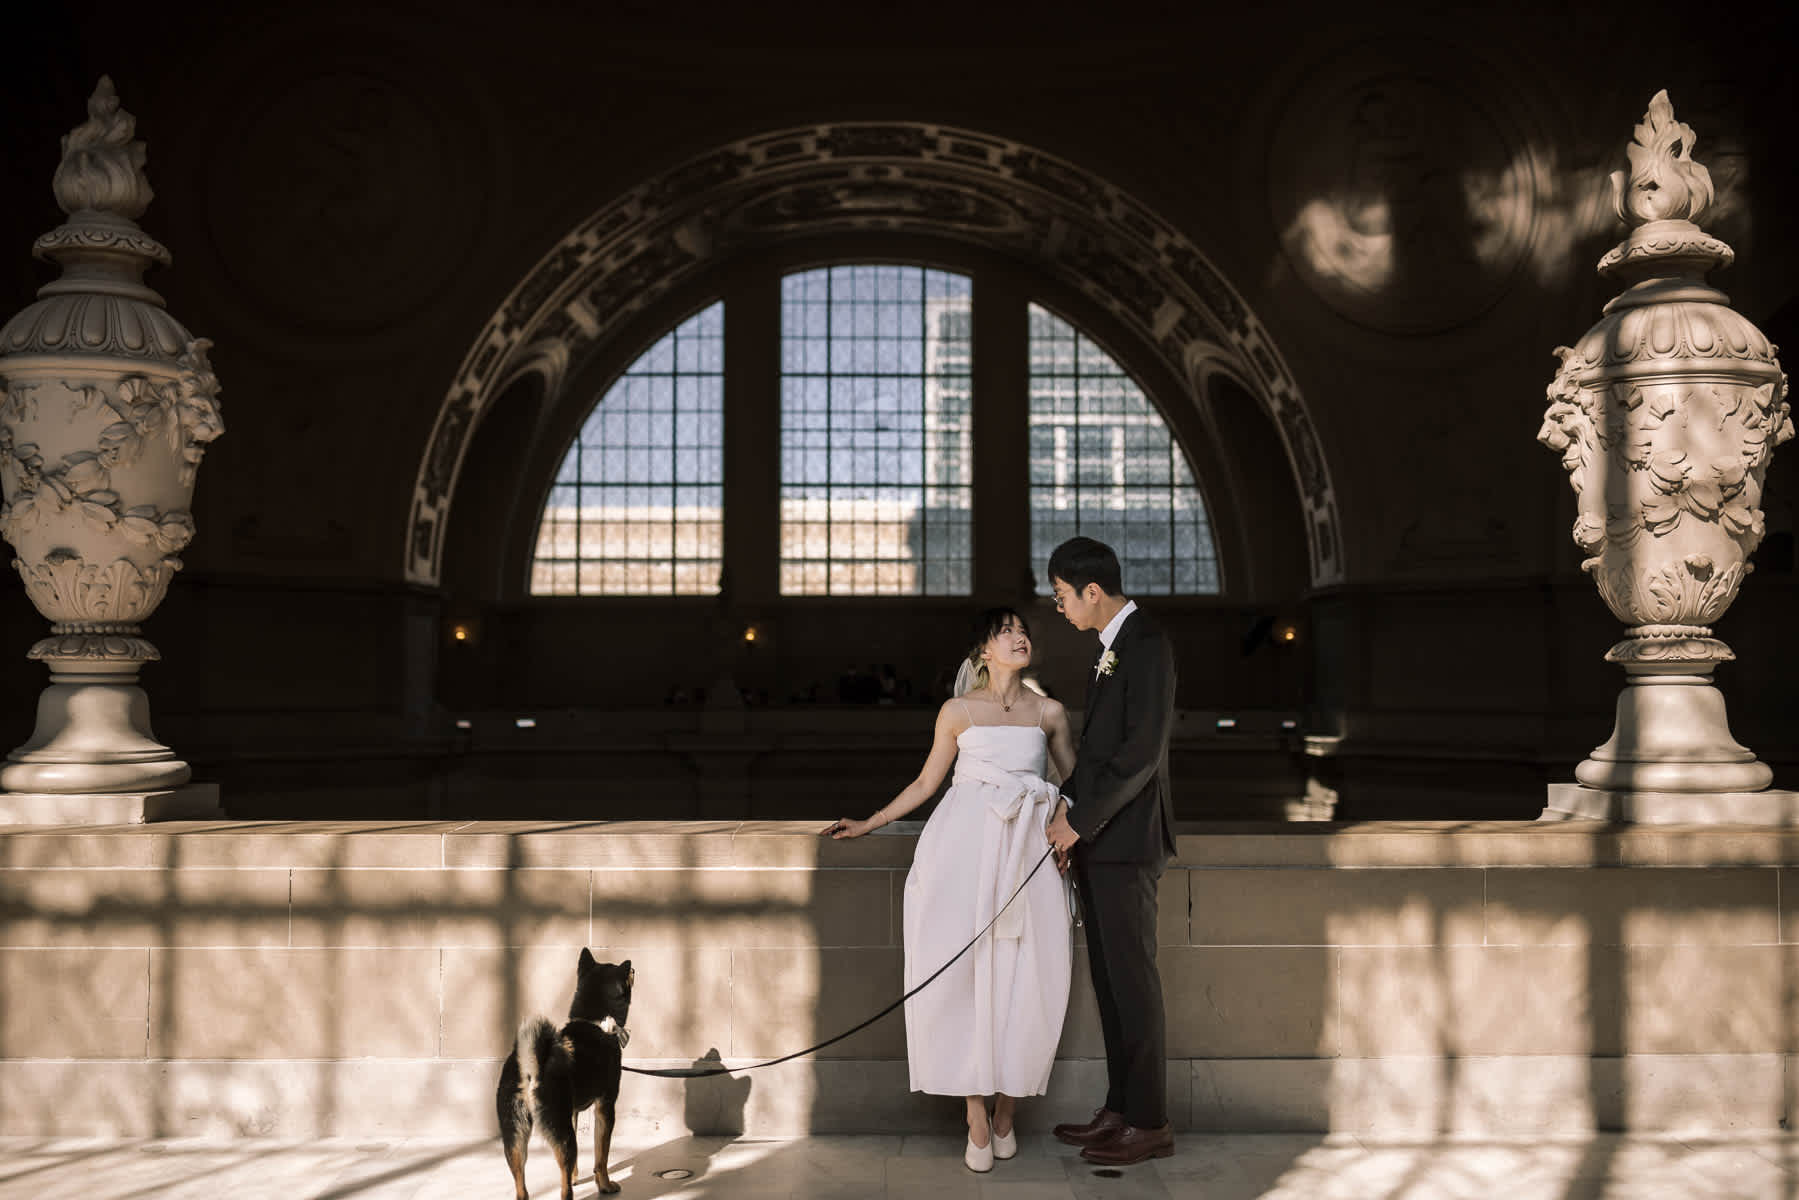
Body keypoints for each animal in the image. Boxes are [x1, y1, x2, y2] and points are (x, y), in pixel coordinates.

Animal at [496, 949, 636, 1194]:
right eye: (627, 973)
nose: (634, 969)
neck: (595, 1022)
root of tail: (530, 1069)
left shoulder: (574, 1112)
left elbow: (581, 1160)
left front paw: (575, 1176)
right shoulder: (605, 1107)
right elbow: (602, 1156)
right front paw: (605, 1185)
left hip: (514, 1139)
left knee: (522, 1188)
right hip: (562, 1134)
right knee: (564, 1189)